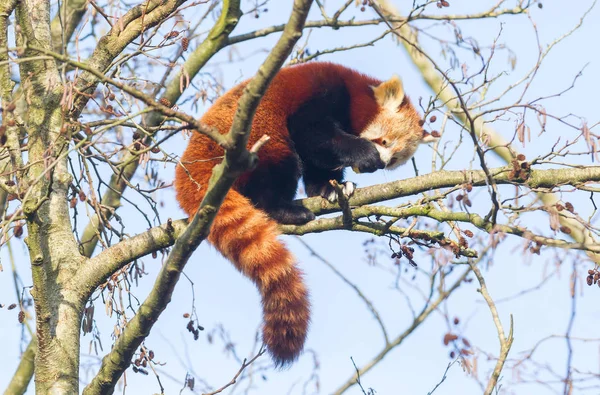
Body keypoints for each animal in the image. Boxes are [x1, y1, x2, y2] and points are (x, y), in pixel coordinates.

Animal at [173, 62, 432, 368]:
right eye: (383, 141)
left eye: (394, 160)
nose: (379, 164)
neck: (353, 88)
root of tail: (191, 165)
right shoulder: (320, 90)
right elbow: (313, 133)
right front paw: (361, 154)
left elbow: (318, 160)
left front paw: (330, 188)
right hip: (258, 135)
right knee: (279, 161)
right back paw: (285, 210)